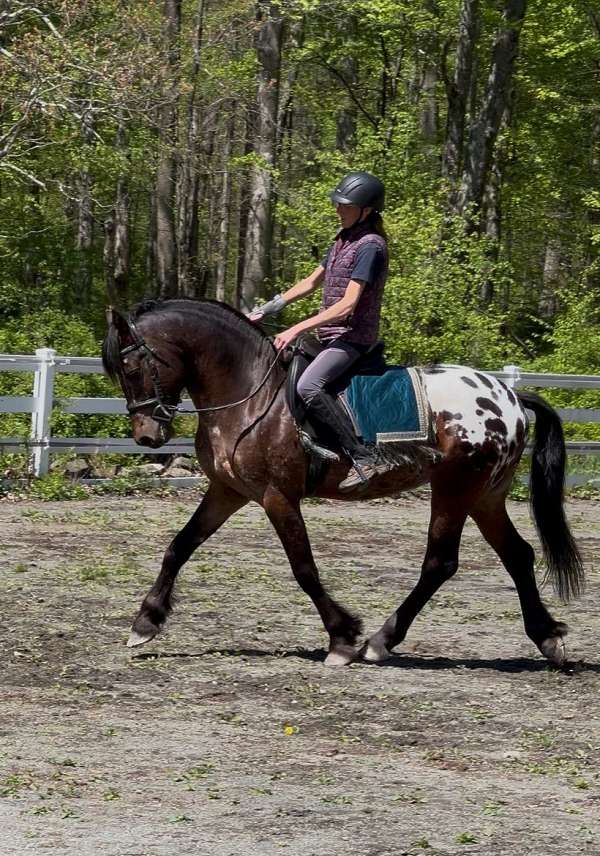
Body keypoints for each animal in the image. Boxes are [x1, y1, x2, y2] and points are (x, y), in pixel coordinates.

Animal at [102, 298, 583, 668]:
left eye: (132, 366)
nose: (147, 436)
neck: (249, 393)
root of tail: (510, 395)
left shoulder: (278, 497)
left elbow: (304, 569)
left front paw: (342, 637)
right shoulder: (230, 491)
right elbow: (179, 546)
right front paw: (145, 622)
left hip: (455, 489)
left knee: (440, 563)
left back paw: (381, 641)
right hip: (485, 496)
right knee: (517, 555)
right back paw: (547, 638)